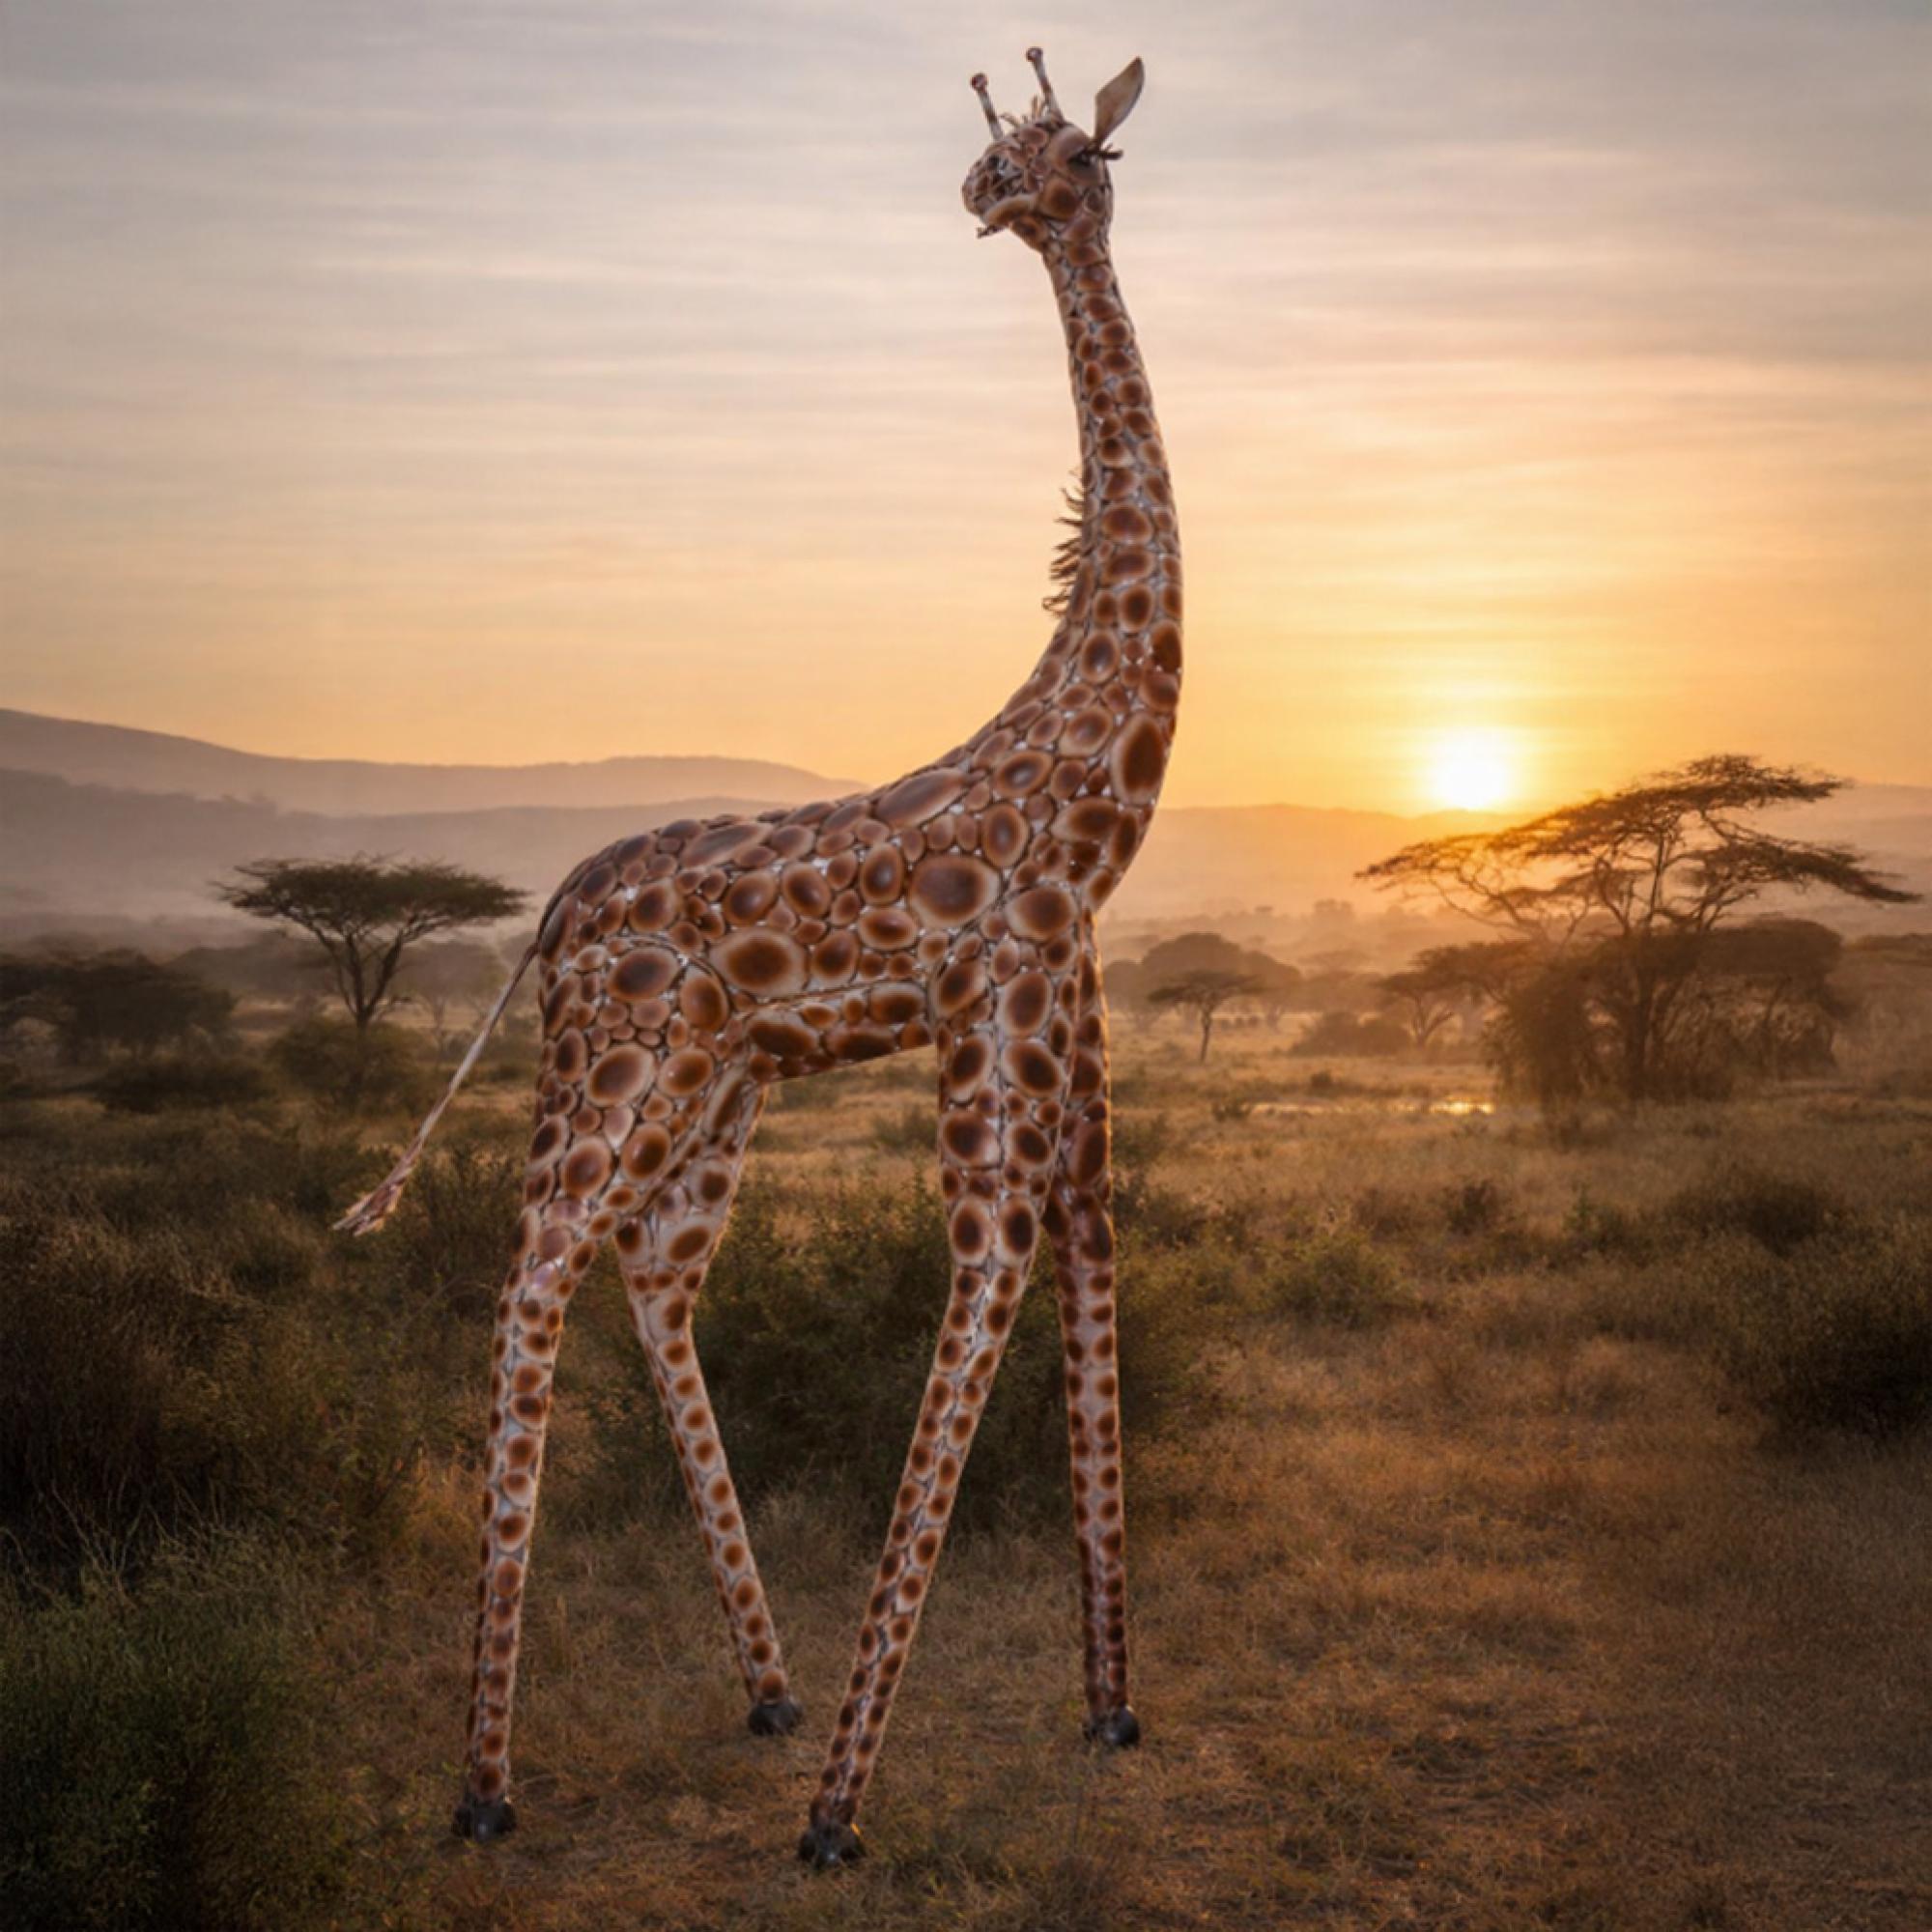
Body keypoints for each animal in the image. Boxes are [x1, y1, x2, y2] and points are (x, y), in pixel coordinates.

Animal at [337, 49, 1176, 1868]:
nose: (982, 194)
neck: (1077, 750)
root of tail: (559, 903)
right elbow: (988, 1275)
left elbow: (1087, 1252)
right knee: (535, 1267)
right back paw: (486, 1784)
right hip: (612, 1066)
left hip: (718, 1085)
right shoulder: (995, 1001)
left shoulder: (1069, 1013)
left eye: (1074, 154)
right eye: (1007, 143)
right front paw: (842, 1814)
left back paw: (769, 1691)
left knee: (651, 1271)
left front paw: (1111, 1709)